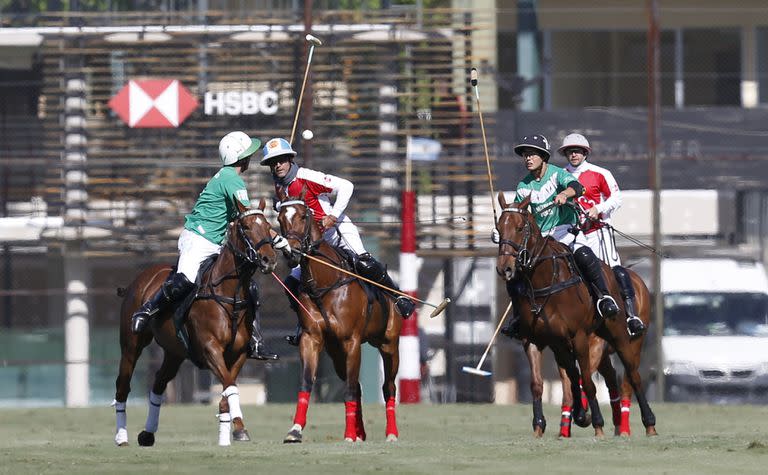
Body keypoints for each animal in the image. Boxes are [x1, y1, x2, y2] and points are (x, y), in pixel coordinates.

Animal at [112, 199, 278, 448]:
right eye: (246, 227)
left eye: (268, 226)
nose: (269, 260)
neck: (229, 293)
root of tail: (140, 279)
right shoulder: (210, 349)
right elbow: (230, 387)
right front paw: (239, 428)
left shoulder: (238, 354)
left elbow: (227, 389)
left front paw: (229, 433)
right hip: (131, 344)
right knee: (123, 385)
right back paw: (121, 437)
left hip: (174, 352)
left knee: (158, 384)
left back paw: (147, 433)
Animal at [278, 195, 408, 444]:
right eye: (280, 219)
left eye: (303, 216)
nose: (292, 252)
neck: (324, 283)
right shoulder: (312, 340)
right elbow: (307, 382)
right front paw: (295, 430)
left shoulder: (352, 342)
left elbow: (348, 388)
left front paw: (348, 435)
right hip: (336, 353)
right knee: (357, 387)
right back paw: (360, 433)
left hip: (389, 345)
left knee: (388, 387)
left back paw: (392, 433)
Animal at [500, 192, 656, 436]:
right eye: (498, 228)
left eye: (519, 228)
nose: (505, 268)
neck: (546, 282)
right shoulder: (538, 341)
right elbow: (543, 383)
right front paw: (542, 426)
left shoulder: (581, 338)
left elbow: (586, 381)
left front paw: (596, 424)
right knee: (607, 379)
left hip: (625, 337)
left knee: (632, 377)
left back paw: (646, 424)